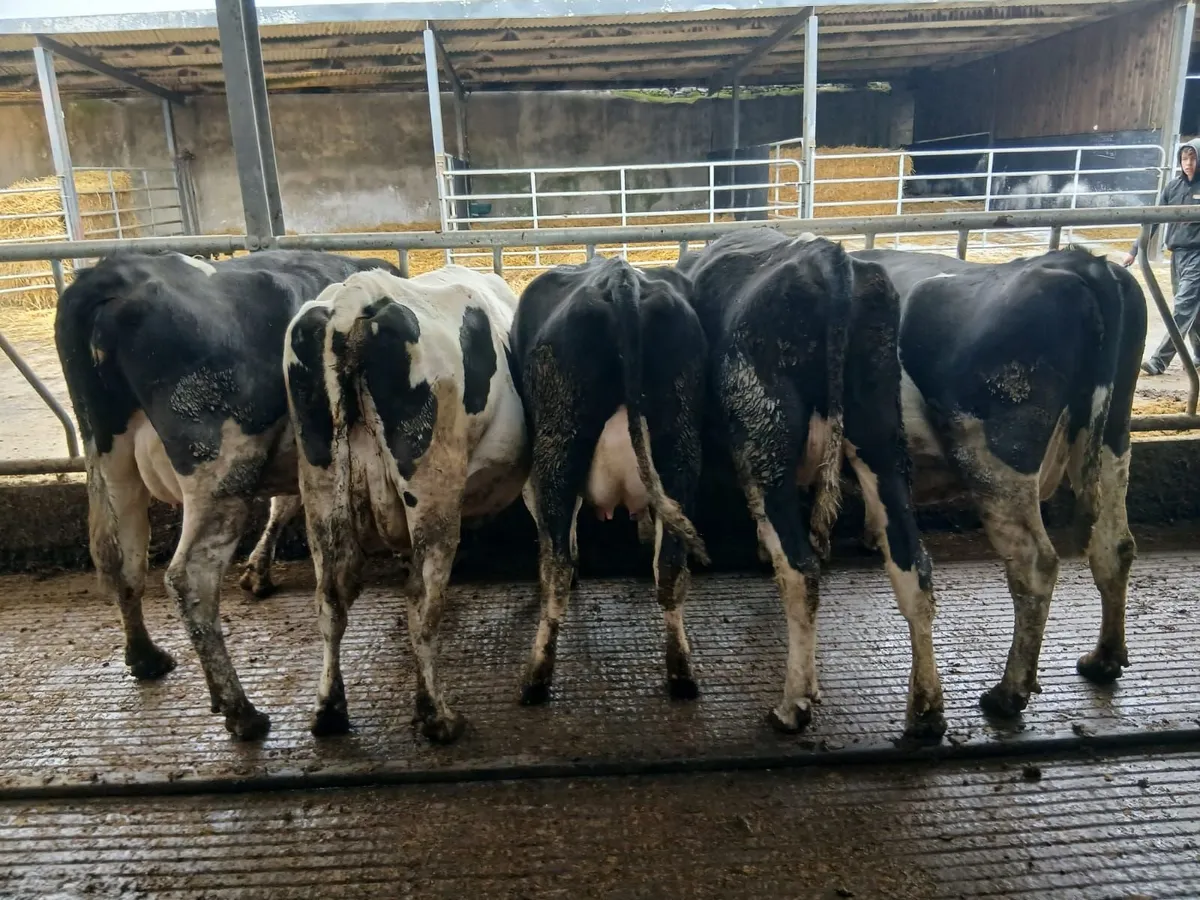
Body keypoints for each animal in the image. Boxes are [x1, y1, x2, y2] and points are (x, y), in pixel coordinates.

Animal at [55, 249, 399, 740]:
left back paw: (145, 657)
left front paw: (257, 571)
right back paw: (241, 711)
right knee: (189, 577)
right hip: (221, 468)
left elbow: (283, 504)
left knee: (117, 556)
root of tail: (114, 274)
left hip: (108, 458)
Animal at [284, 265, 528, 743]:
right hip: (433, 488)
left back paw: (329, 711)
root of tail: (354, 299)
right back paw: (437, 715)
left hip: (319, 484)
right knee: (422, 600)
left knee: (330, 599)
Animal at [509, 255, 710, 705]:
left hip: (558, 446)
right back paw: (682, 675)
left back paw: (536, 678)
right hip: (680, 447)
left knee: (557, 569)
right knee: (670, 566)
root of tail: (621, 278)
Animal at [679, 229, 947, 741]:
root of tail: (828, 257)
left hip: (764, 434)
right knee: (913, 568)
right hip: (880, 437)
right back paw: (926, 710)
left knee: (801, 570)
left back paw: (793, 704)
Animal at [854, 246, 1146, 719]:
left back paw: (1008, 693)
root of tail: (1082, 262)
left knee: (1035, 564)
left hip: (996, 460)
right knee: (1114, 545)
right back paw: (1103, 658)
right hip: (1114, 438)